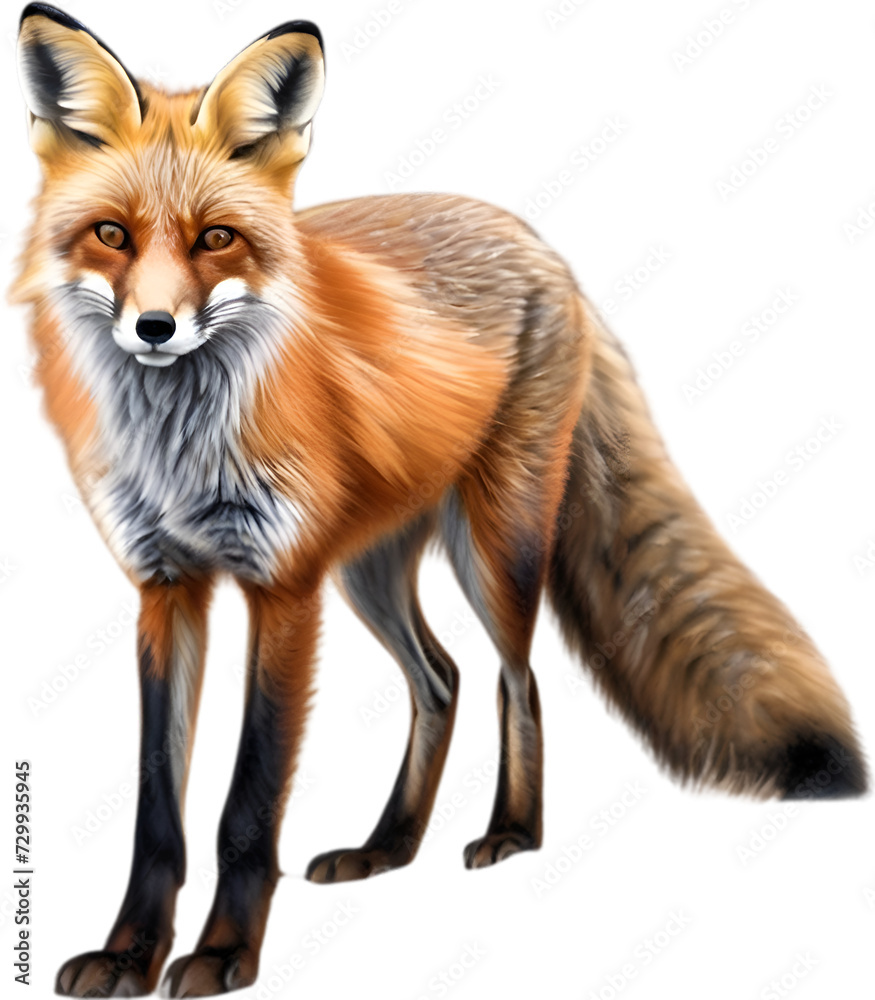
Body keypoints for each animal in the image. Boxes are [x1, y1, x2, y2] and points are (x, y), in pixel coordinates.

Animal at [11, 3, 868, 997]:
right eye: (111, 234)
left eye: (215, 238)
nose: (154, 328)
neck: (179, 446)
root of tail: (537, 243)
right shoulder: (166, 586)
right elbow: (157, 808)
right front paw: (128, 954)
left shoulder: (283, 586)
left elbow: (247, 803)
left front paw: (224, 953)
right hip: (370, 572)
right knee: (441, 678)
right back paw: (388, 847)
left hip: (495, 546)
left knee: (514, 680)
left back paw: (511, 833)